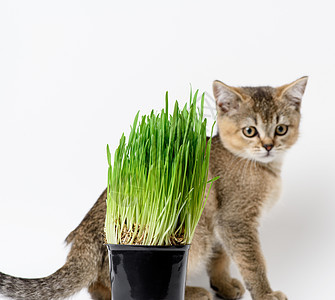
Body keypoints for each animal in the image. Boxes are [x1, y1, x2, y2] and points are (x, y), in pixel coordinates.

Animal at [0, 76, 308, 298]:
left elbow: (220, 258)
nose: (268, 146)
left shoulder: (220, 223)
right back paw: (192, 292)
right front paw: (266, 294)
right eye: (250, 131)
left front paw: (223, 285)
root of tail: (83, 238)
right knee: (103, 287)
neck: (262, 167)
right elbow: (253, 263)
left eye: (281, 129)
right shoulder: (236, 220)